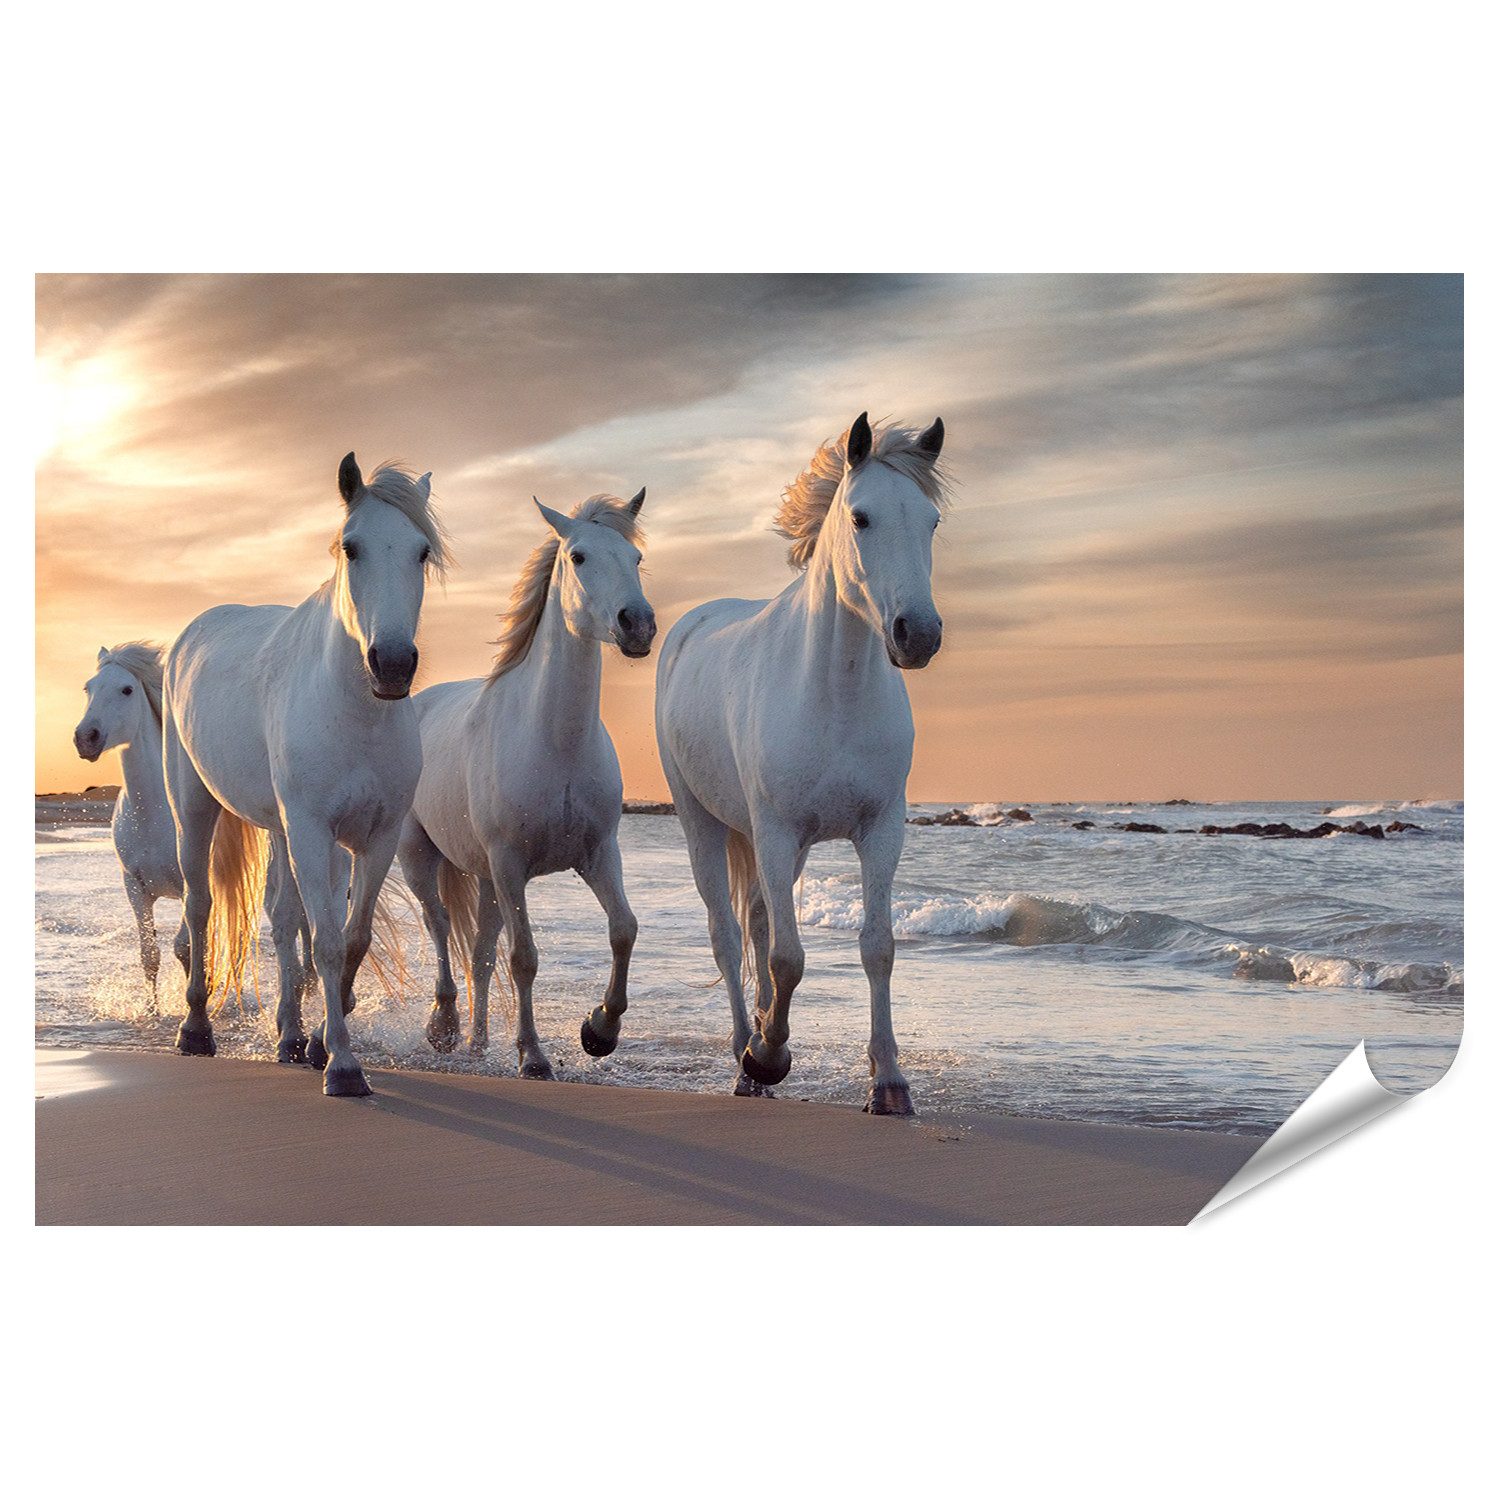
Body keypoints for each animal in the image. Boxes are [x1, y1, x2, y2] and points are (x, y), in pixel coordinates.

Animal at [163, 455, 446, 1096]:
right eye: (352, 547)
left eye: (421, 551)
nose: (393, 665)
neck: (356, 713)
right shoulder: (314, 832)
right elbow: (327, 941)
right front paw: (342, 1066)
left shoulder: (375, 837)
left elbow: (351, 938)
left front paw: (319, 1044)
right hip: (194, 808)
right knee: (199, 905)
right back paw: (195, 1030)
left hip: (280, 829)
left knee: (282, 918)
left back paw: (290, 1037)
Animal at [398, 488, 655, 1076]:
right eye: (578, 557)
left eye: (635, 559)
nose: (637, 624)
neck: (555, 741)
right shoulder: (511, 862)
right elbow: (524, 958)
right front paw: (533, 1056)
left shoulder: (598, 853)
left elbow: (623, 929)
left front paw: (599, 1031)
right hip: (422, 857)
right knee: (440, 924)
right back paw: (444, 1027)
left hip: (486, 878)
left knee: (479, 953)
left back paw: (476, 1044)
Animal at [654, 412, 948, 1115]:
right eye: (861, 518)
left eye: (931, 521)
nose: (918, 635)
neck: (834, 693)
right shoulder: (776, 830)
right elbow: (788, 958)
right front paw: (767, 1055)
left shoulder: (879, 831)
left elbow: (877, 947)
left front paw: (889, 1082)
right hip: (704, 823)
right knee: (728, 935)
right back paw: (747, 1055)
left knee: (758, 922)